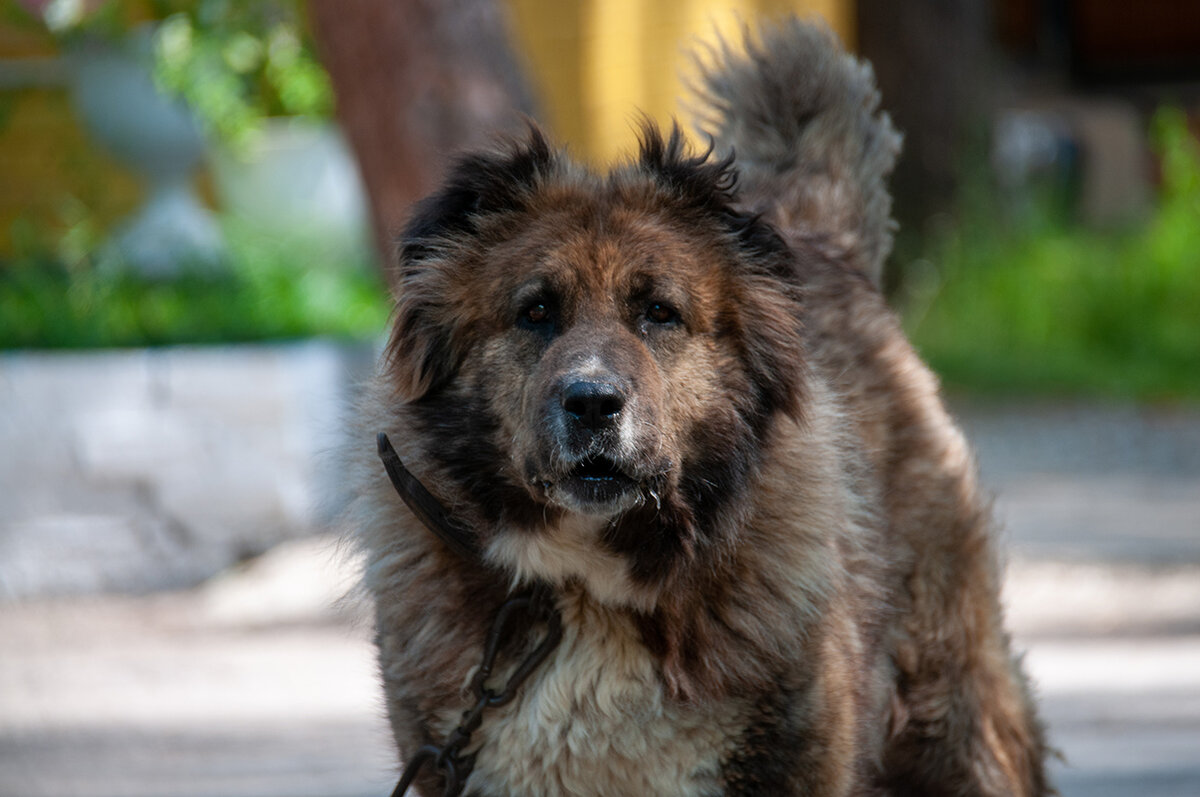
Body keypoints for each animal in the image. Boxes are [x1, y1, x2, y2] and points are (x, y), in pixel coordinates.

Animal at [348, 18, 1051, 797]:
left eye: (659, 312)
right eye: (535, 312)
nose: (592, 402)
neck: (589, 587)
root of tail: (826, 242)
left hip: (953, 715)